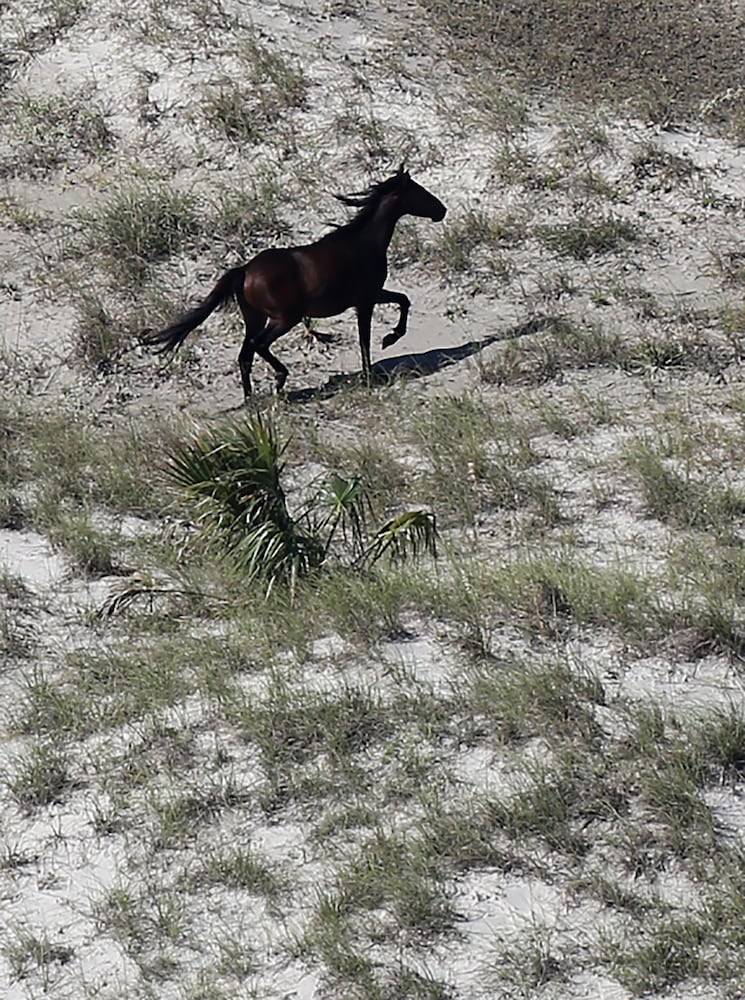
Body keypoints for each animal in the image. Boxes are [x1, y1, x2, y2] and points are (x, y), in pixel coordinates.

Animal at [140, 166, 444, 396]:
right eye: (420, 191)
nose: (441, 210)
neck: (364, 243)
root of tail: (246, 270)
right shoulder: (366, 300)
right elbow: (366, 338)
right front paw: (380, 356)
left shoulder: (371, 296)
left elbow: (403, 301)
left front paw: (390, 339)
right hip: (285, 318)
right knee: (258, 346)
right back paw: (280, 379)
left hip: (256, 318)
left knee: (245, 355)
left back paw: (251, 401)